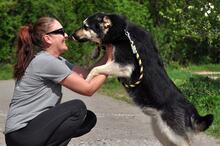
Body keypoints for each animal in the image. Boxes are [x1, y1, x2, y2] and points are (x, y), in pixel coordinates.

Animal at [71, 12, 214, 146]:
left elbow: (95, 69)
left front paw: (87, 80)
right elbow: (95, 59)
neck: (122, 31)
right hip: (161, 131)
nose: (71, 35)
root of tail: (190, 108)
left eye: (85, 26)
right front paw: (95, 52)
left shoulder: (124, 66)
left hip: (172, 132)